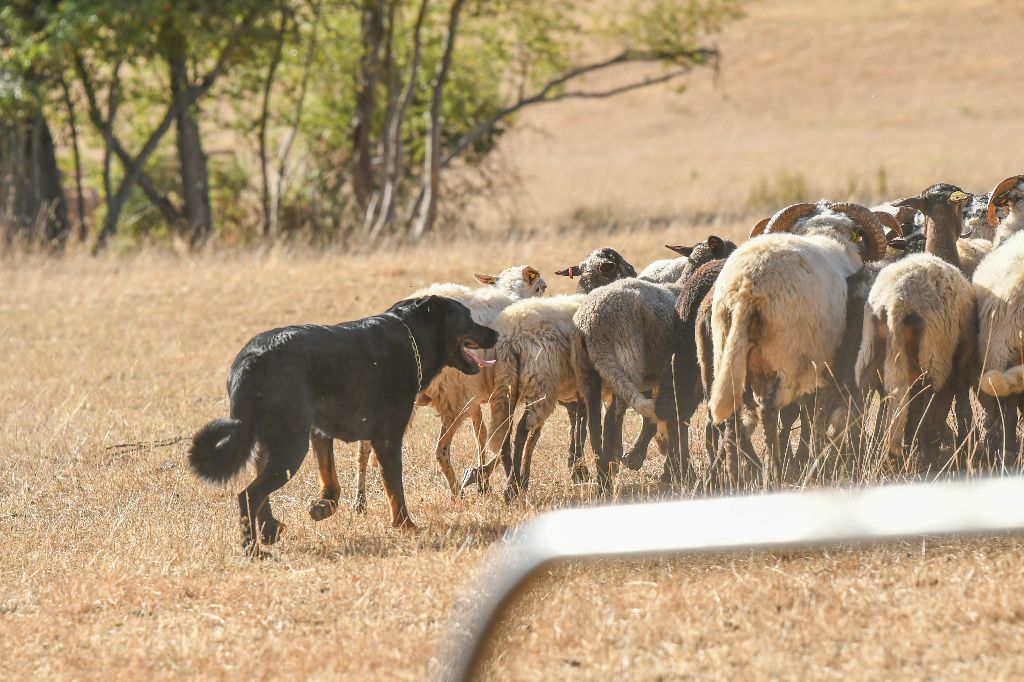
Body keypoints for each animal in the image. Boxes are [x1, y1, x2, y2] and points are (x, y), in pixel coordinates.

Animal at [191, 294, 499, 557]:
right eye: (468, 317)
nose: (495, 334)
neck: (413, 336)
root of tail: (250, 359)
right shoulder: (387, 439)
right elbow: (395, 489)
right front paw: (406, 525)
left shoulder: (320, 434)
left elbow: (332, 481)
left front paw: (323, 507)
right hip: (291, 445)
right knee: (249, 494)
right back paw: (253, 550)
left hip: (273, 443)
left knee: (259, 490)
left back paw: (269, 530)